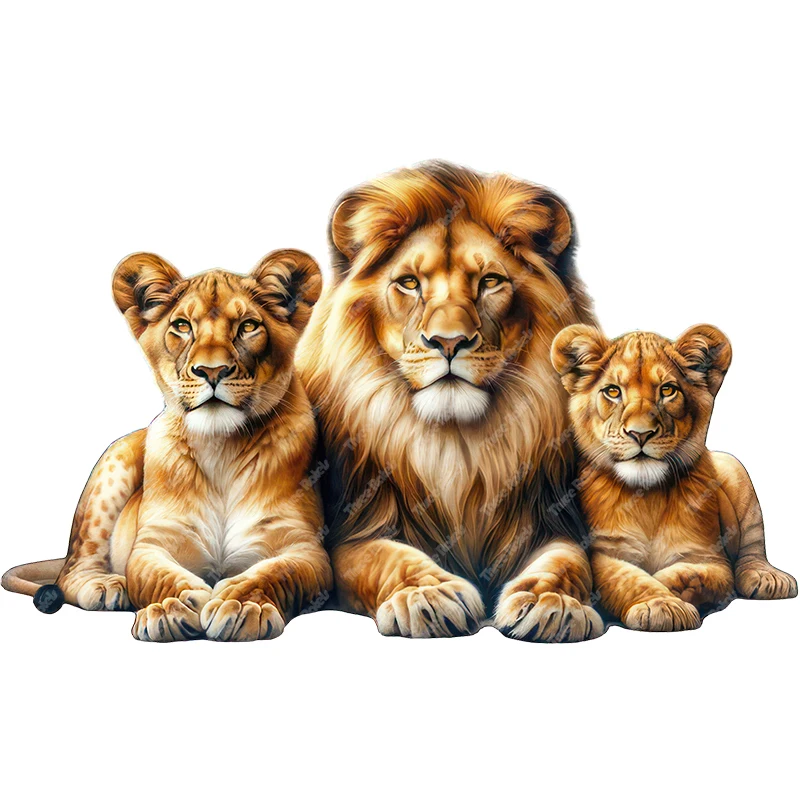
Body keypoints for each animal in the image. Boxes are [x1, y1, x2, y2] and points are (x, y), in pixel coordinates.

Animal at [2, 250, 333, 641]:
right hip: (113, 462)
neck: (221, 448)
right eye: (182, 326)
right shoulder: (154, 542)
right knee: (70, 571)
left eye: (249, 326)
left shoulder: (306, 548)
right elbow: (156, 575)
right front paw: (170, 608)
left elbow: (275, 573)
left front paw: (241, 605)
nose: (212, 371)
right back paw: (108, 586)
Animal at [296, 161, 604, 642]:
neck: (457, 447)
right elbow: (389, 557)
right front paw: (427, 595)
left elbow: (566, 561)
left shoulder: (551, 520)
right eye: (408, 284)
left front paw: (552, 603)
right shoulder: (351, 534)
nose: (448, 342)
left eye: (490, 281)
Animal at [551, 323, 797, 632]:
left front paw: (672, 594)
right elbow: (626, 578)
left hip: (734, 467)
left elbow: (700, 574)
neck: (647, 497)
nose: (640, 433)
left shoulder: (708, 556)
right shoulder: (605, 551)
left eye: (667, 390)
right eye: (612, 391)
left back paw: (768, 577)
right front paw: (661, 605)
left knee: (753, 545)